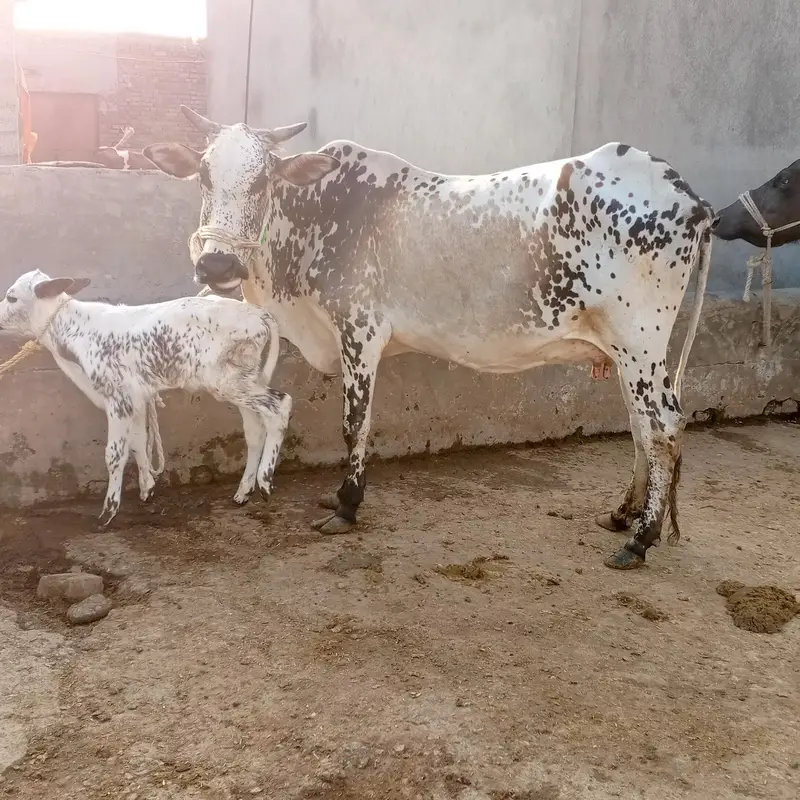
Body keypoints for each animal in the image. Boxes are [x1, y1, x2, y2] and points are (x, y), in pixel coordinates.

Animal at [0, 270, 291, 524]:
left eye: (11, 297)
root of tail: (258, 312)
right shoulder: (136, 398)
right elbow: (138, 442)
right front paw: (147, 489)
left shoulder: (117, 398)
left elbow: (114, 453)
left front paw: (109, 511)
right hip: (241, 381)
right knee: (255, 430)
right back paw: (243, 491)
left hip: (227, 381)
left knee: (280, 405)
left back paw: (265, 482)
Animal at [143, 106, 714, 570]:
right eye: (203, 175)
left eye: (263, 180)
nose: (217, 264)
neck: (316, 218)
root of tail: (690, 197)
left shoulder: (360, 334)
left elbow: (354, 425)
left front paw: (347, 504)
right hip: (627, 354)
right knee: (642, 429)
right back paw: (623, 516)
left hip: (641, 345)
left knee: (663, 427)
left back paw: (642, 537)